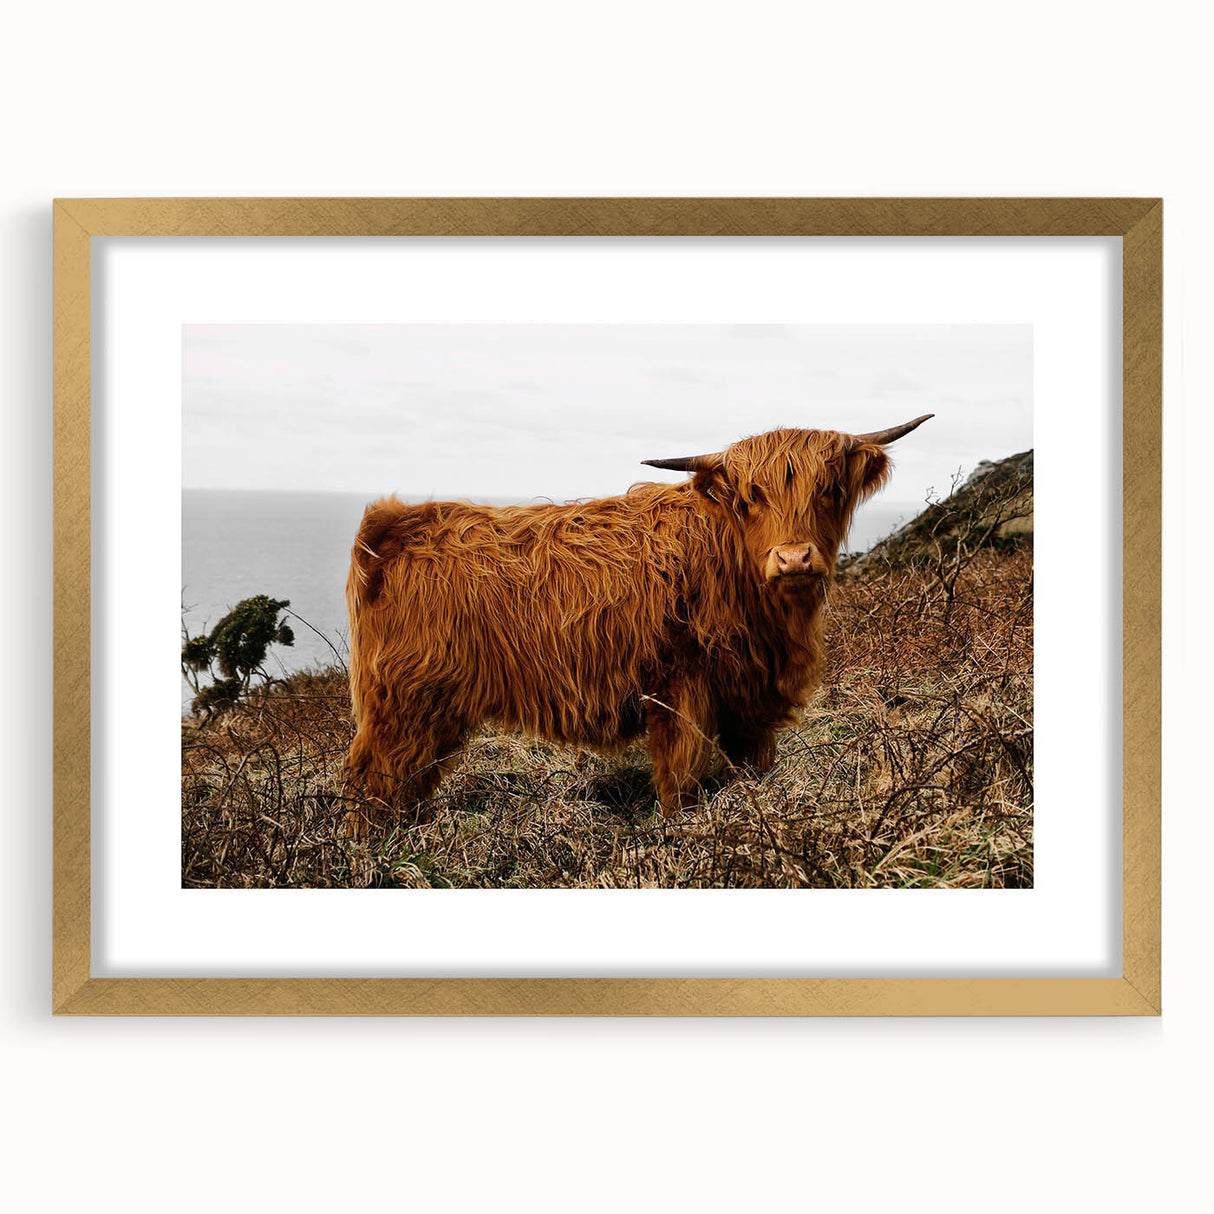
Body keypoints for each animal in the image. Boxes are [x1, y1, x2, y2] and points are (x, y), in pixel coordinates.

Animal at [342, 415, 932, 820]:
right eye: (751, 498)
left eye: (829, 490)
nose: (793, 558)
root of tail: (397, 522)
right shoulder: (680, 690)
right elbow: (681, 779)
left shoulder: (750, 701)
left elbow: (751, 769)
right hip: (406, 703)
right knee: (375, 784)